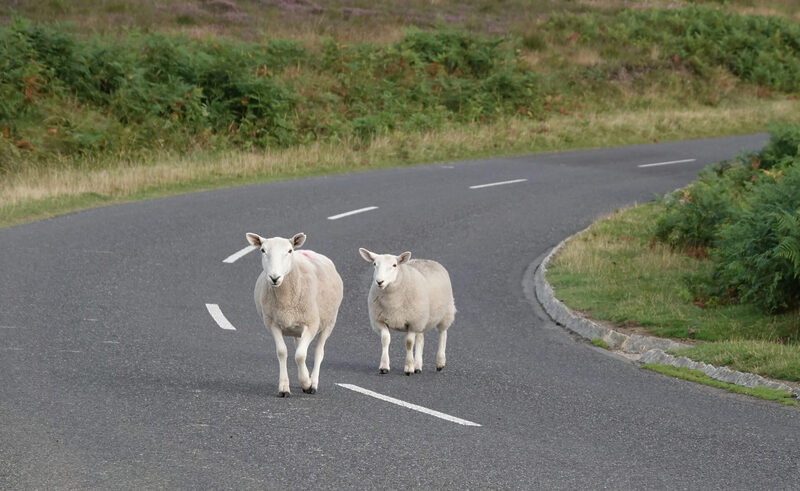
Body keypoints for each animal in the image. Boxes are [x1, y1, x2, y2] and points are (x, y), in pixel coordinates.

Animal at [246, 232, 343, 397]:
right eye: (262, 250)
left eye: (289, 250)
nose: (274, 277)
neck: (285, 299)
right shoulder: (273, 324)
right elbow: (282, 352)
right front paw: (284, 387)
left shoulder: (311, 324)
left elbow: (300, 355)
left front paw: (307, 383)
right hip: (297, 328)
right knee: (299, 347)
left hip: (329, 322)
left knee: (318, 352)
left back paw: (313, 383)